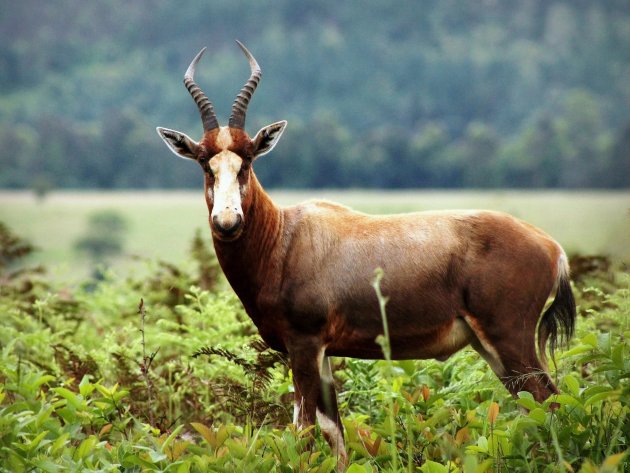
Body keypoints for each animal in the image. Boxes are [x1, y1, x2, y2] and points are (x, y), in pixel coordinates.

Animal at [158, 42, 576, 466]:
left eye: (247, 161)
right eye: (205, 164)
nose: (227, 222)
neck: (285, 236)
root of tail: (553, 249)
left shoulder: (304, 345)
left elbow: (303, 431)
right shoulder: (322, 353)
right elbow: (334, 432)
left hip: (510, 339)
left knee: (550, 402)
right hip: (491, 348)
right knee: (534, 406)